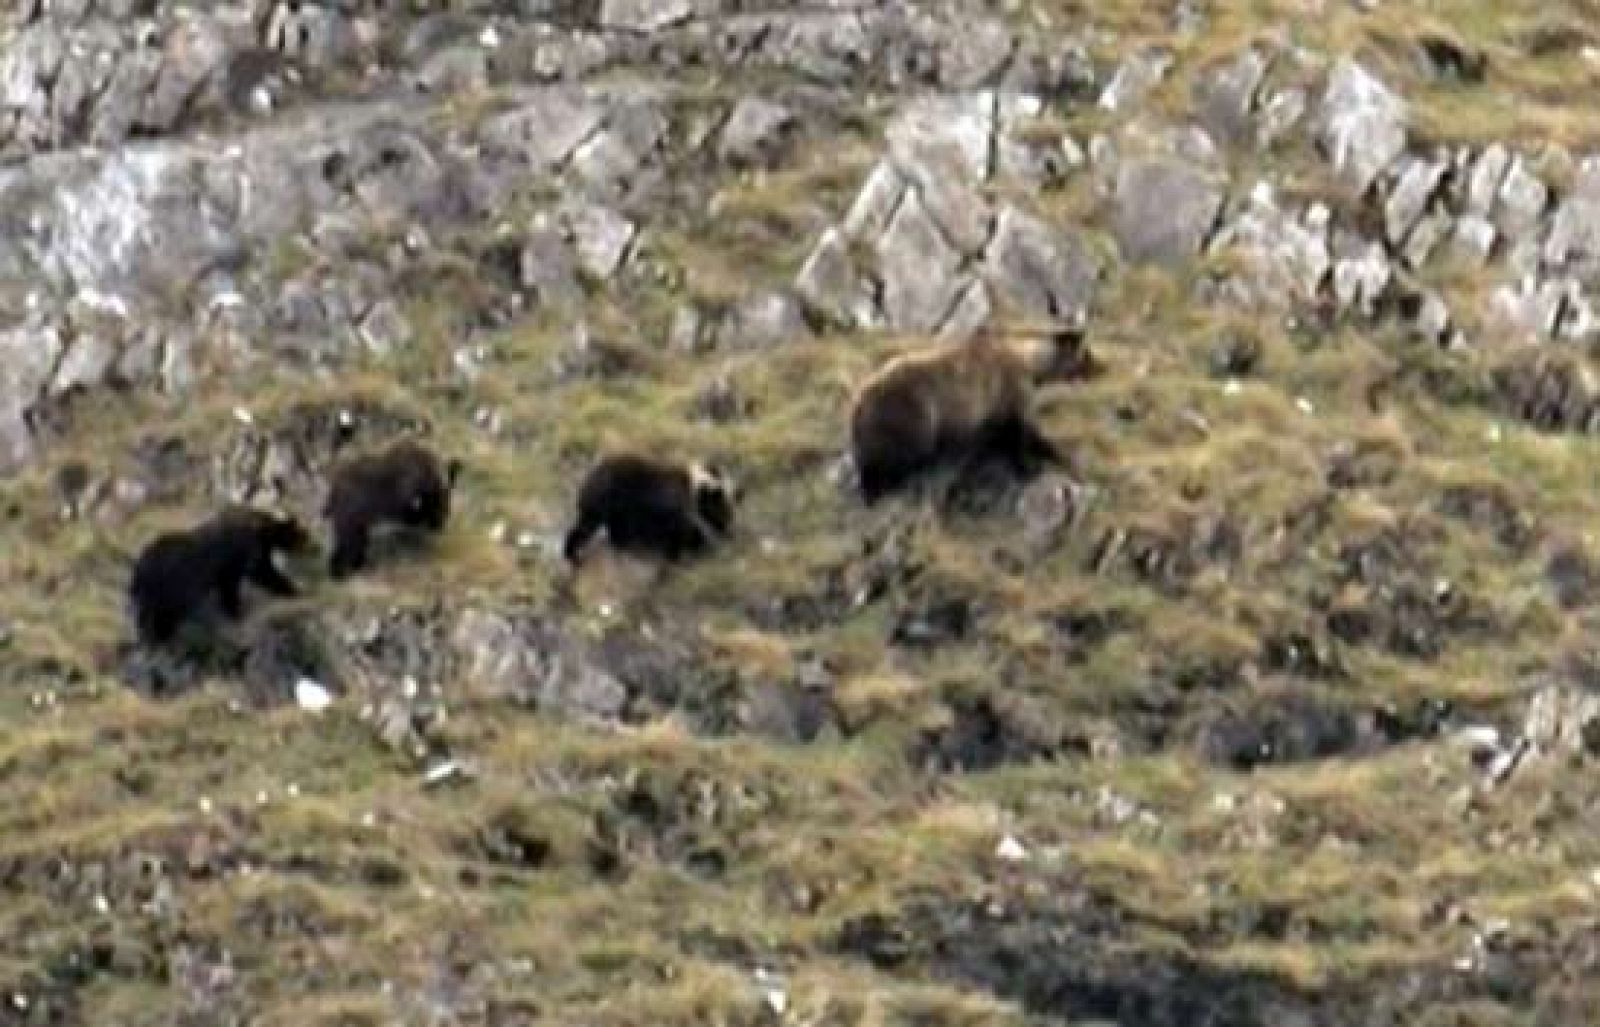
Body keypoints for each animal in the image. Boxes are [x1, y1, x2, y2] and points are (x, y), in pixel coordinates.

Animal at [129, 502, 310, 639]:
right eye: (303, 535)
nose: (311, 545)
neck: (263, 530)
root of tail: (140, 567)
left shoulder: (257, 550)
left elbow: (264, 572)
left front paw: (293, 589)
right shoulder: (239, 550)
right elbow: (241, 579)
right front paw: (236, 612)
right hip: (172, 585)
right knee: (165, 614)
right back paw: (161, 635)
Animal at [563, 451, 736, 563]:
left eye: (724, 504)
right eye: (720, 502)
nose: (728, 524)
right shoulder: (665, 509)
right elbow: (676, 532)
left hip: (608, 507)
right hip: (608, 501)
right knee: (592, 526)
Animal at [851, 321, 1100, 502]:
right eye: (1087, 353)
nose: (1101, 367)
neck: (1031, 364)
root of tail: (859, 402)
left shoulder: (993, 407)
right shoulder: (1009, 390)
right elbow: (1021, 430)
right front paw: (1031, 465)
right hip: (912, 412)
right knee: (904, 454)